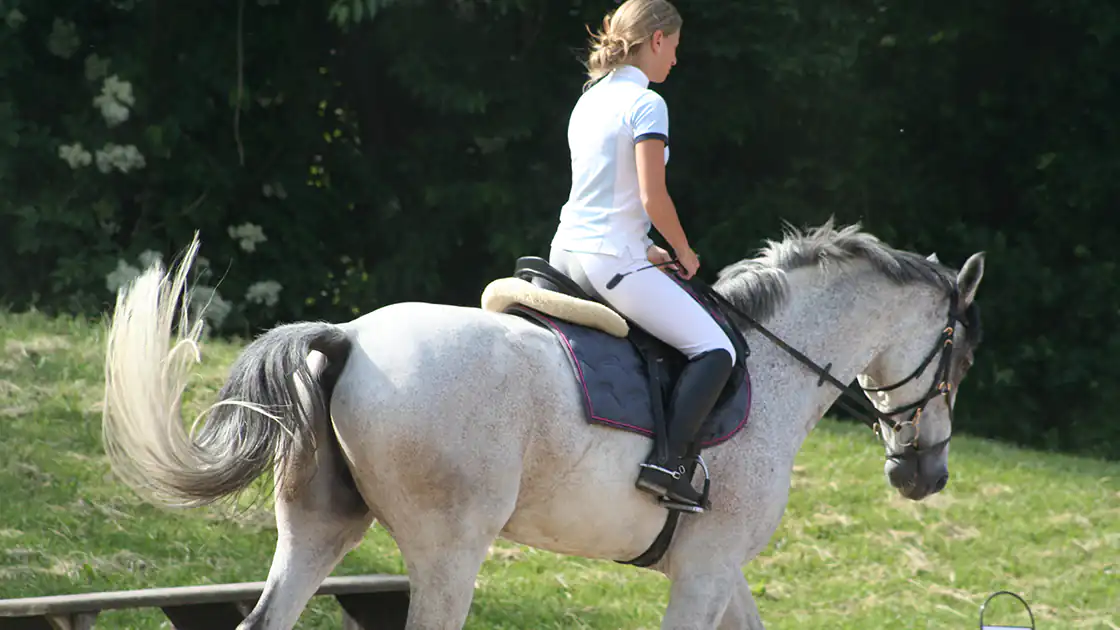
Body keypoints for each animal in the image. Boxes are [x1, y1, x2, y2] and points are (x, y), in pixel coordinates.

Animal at [100, 220, 986, 629]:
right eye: (961, 358)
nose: (927, 474)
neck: (771, 366)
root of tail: (348, 337)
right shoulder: (705, 572)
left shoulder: (718, 567)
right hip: (450, 546)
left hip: (320, 527)